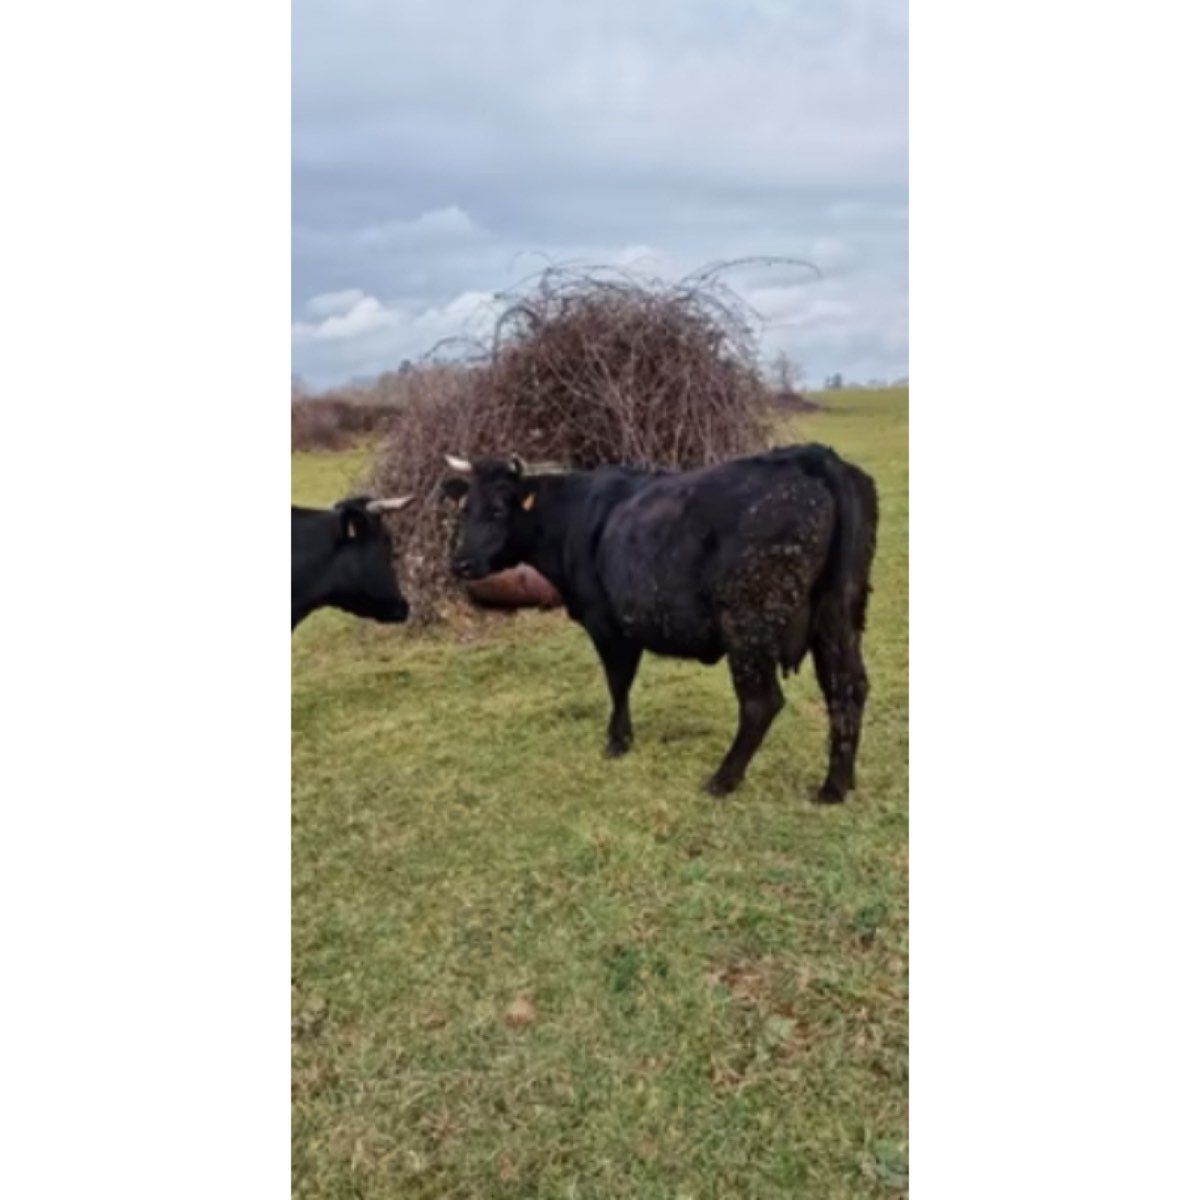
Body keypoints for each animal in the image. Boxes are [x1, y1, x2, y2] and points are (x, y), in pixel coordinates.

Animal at [441, 445, 877, 801]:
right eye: (464, 509)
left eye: (498, 509)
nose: (460, 563)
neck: (573, 516)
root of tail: (814, 457)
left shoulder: (606, 623)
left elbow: (618, 682)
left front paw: (617, 742)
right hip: (839, 617)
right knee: (847, 689)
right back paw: (835, 787)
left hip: (747, 625)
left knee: (761, 702)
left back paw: (723, 779)